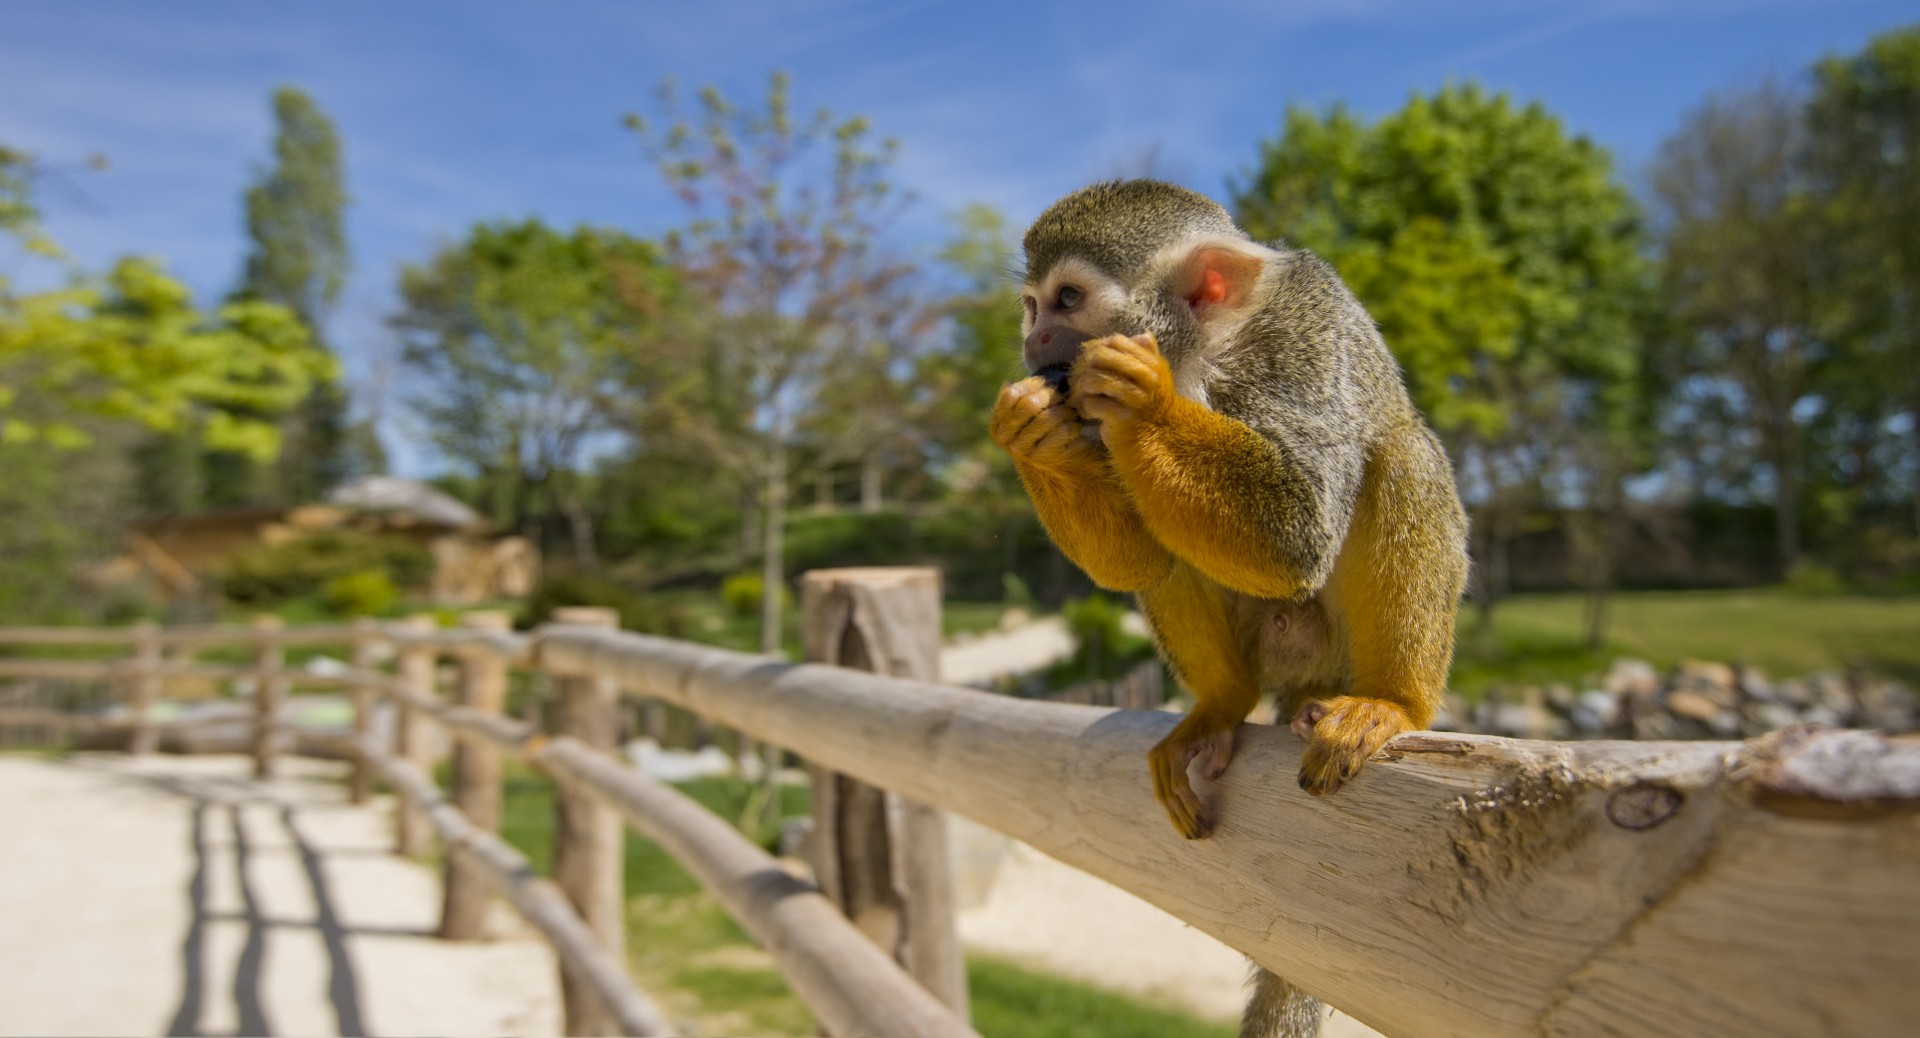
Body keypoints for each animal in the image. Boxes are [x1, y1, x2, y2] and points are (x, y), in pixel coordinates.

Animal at [990, 176, 1466, 825]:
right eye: (1032, 306)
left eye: (1066, 298)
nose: (1035, 337)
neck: (1205, 352)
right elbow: (1135, 562)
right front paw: (1036, 433)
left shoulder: (1301, 339)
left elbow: (1298, 536)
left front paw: (1144, 400)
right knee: (1171, 543)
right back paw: (1223, 701)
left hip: (1334, 657)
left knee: (1403, 454)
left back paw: (1393, 702)